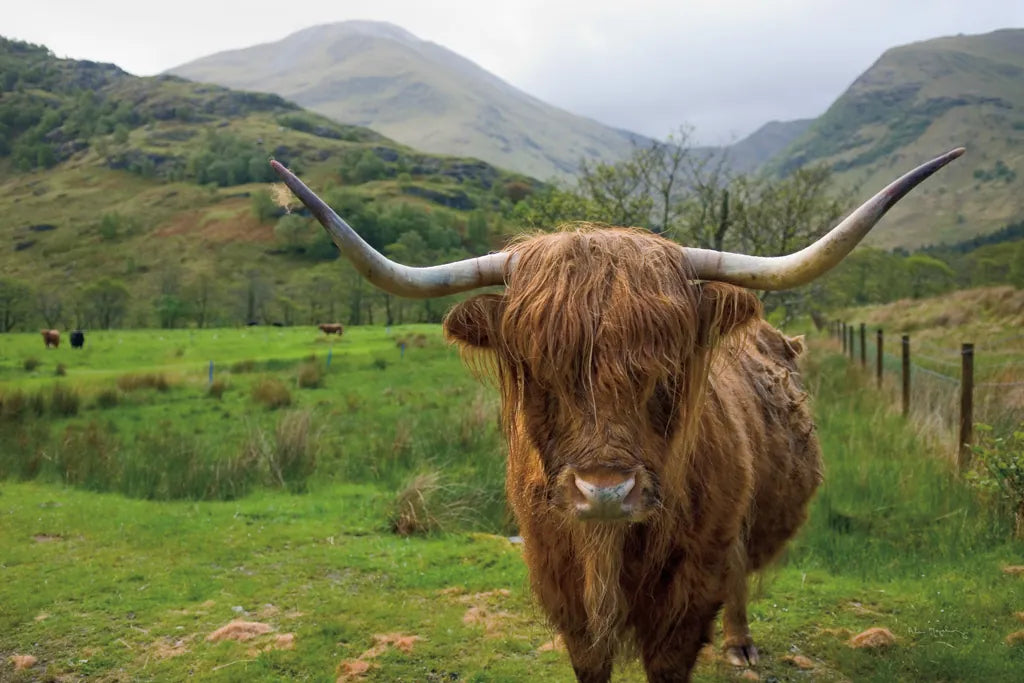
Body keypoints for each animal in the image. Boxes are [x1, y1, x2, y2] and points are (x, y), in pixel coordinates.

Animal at [270, 148, 963, 682]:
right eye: (538, 370)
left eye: (666, 369)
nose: (604, 491)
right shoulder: (561, 585)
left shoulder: (688, 594)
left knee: (739, 574)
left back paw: (741, 646)